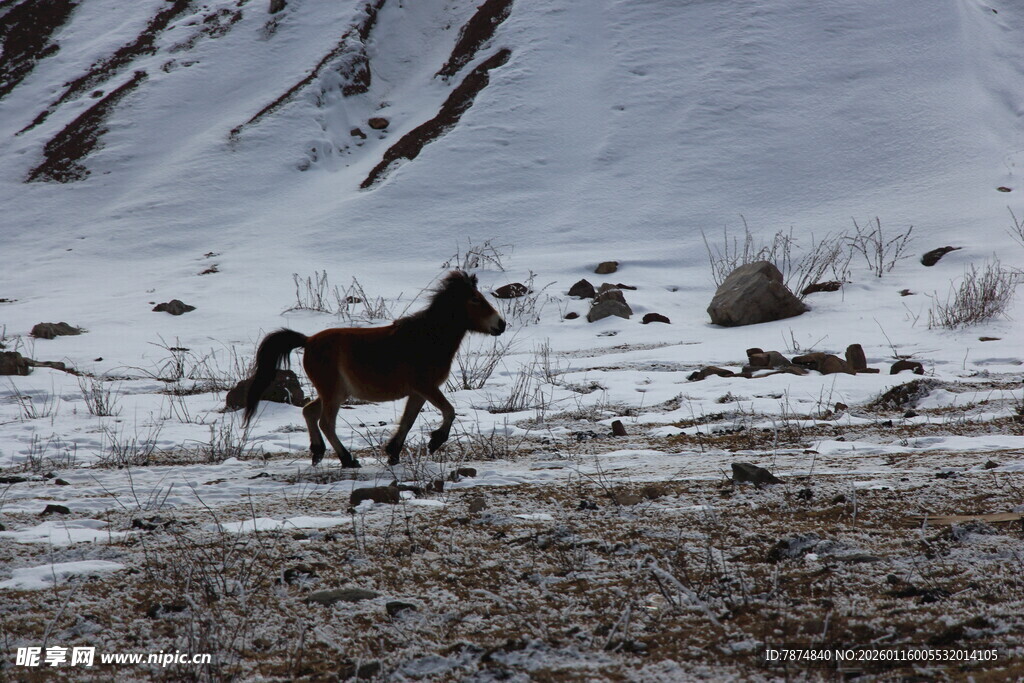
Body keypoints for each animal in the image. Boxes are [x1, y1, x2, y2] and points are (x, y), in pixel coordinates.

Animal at [243, 270, 506, 467]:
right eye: (475, 299)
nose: (501, 324)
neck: (427, 338)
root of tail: (308, 341)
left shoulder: (418, 392)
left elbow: (408, 421)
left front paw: (393, 453)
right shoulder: (426, 387)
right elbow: (449, 411)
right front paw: (434, 442)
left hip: (335, 392)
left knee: (309, 412)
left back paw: (318, 452)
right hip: (333, 394)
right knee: (326, 423)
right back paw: (348, 460)